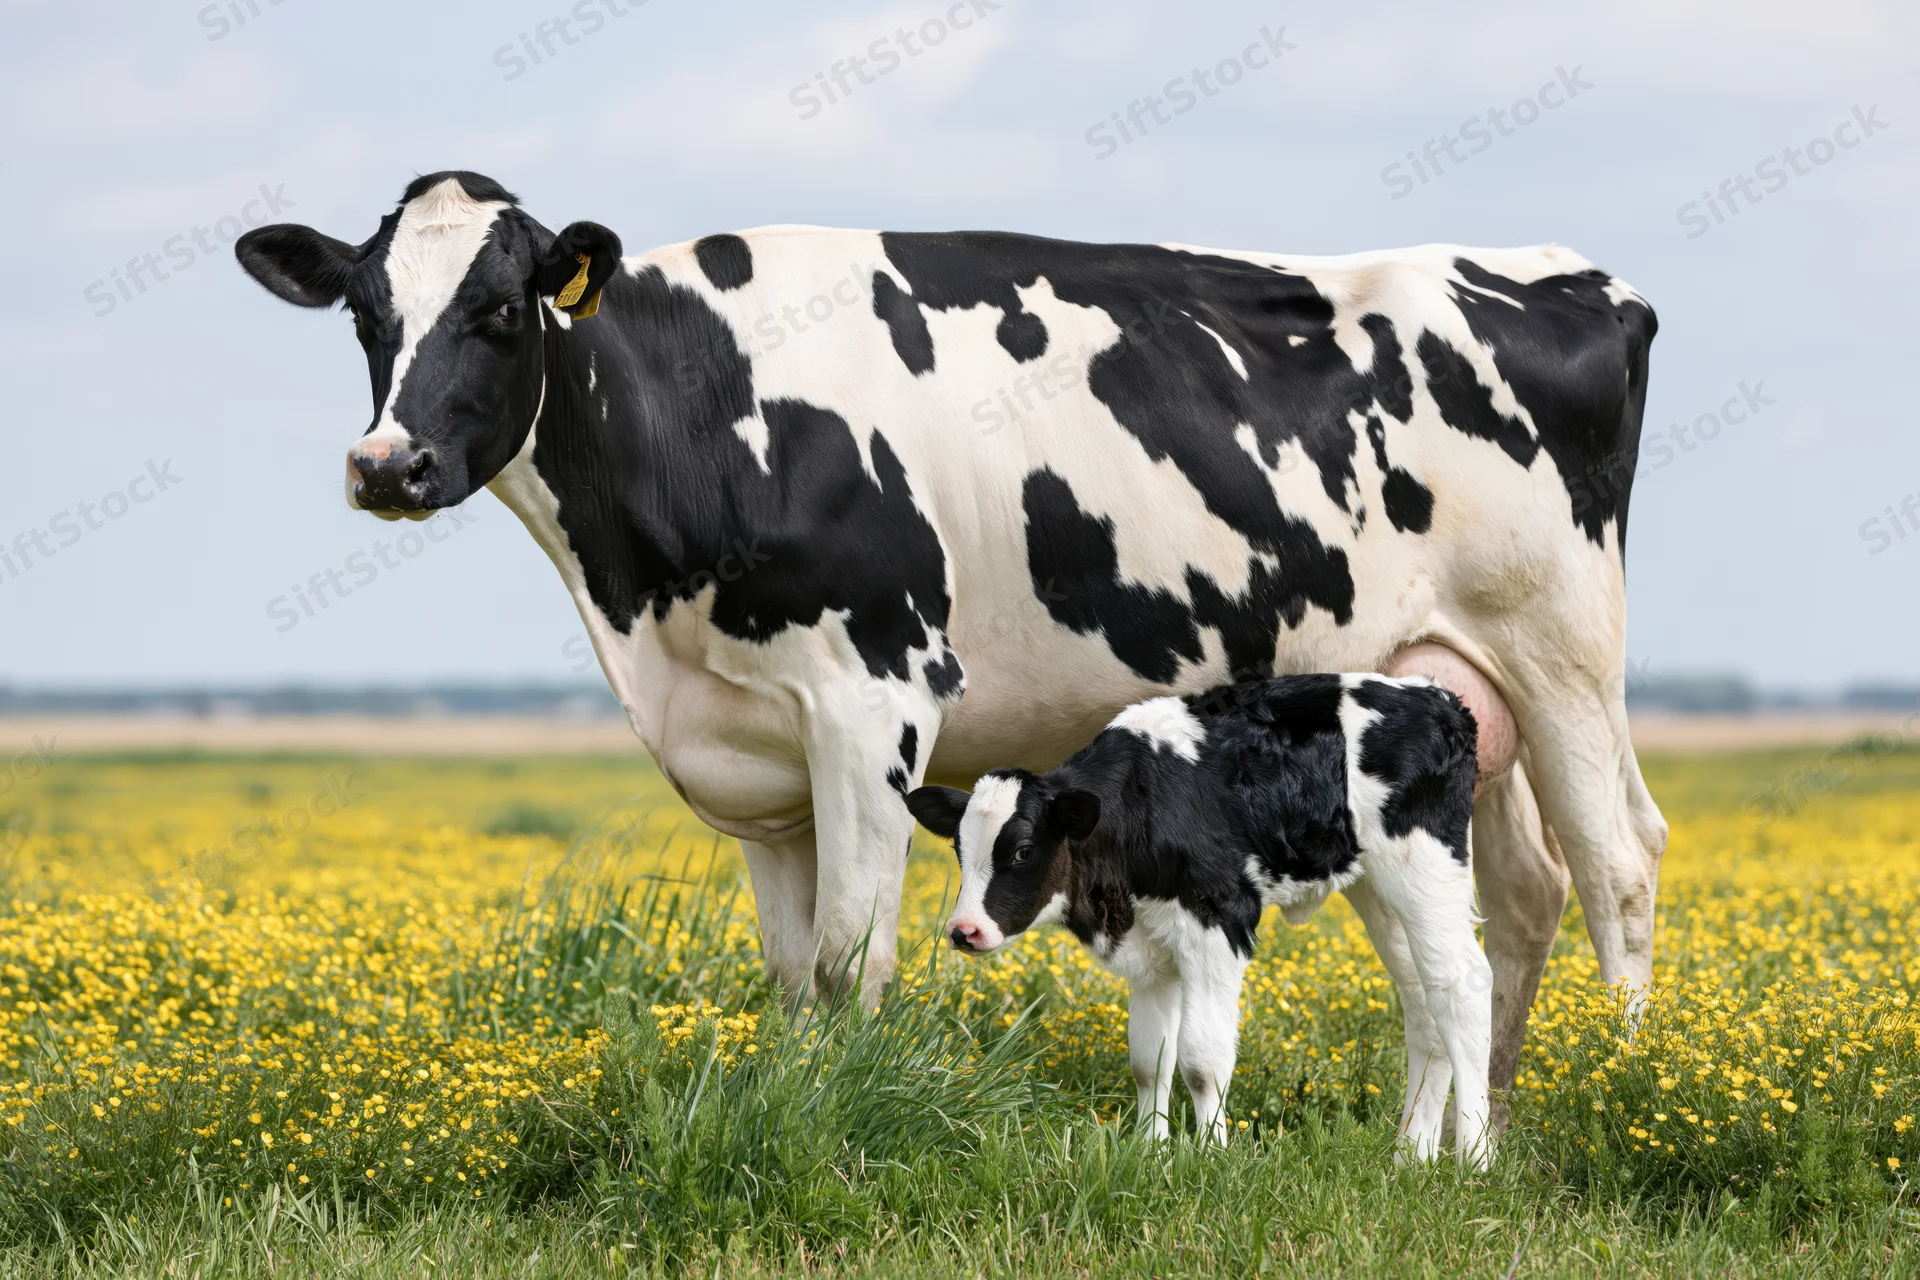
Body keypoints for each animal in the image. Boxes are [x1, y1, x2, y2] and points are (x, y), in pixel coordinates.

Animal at [907, 674, 1491, 1164]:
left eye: (1024, 850)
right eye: (959, 849)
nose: (964, 930)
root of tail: (1438, 697)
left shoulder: (1218, 919)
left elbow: (1201, 1060)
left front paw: (1212, 1155)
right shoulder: (1151, 947)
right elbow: (1149, 1060)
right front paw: (1152, 1149)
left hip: (1425, 868)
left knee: (1463, 985)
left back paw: (1474, 1157)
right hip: (1380, 891)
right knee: (1424, 1000)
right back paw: (1411, 1155)